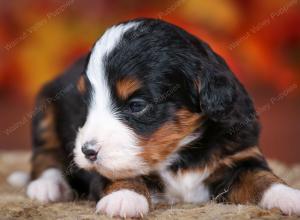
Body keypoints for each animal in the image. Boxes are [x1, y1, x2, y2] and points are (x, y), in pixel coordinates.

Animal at [25, 18, 300, 217]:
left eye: (137, 106)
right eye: (86, 104)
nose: (88, 152)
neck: (178, 155)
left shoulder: (240, 156)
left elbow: (262, 178)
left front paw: (289, 196)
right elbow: (118, 172)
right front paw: (124, 196)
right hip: (45, 107)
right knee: (44, 155)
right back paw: (48, 186)